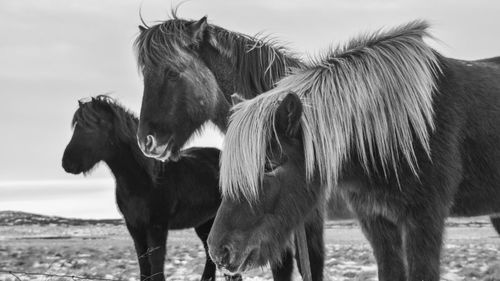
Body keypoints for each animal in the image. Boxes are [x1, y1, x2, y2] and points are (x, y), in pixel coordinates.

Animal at [61, 95, 241, 280]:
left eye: (95, 125)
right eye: (77, 126)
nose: (67, 163)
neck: (145, 181)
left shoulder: (157, 227)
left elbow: (156, 263)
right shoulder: (134, 228)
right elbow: (143, 263)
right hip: (204, 222)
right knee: (209, 253)